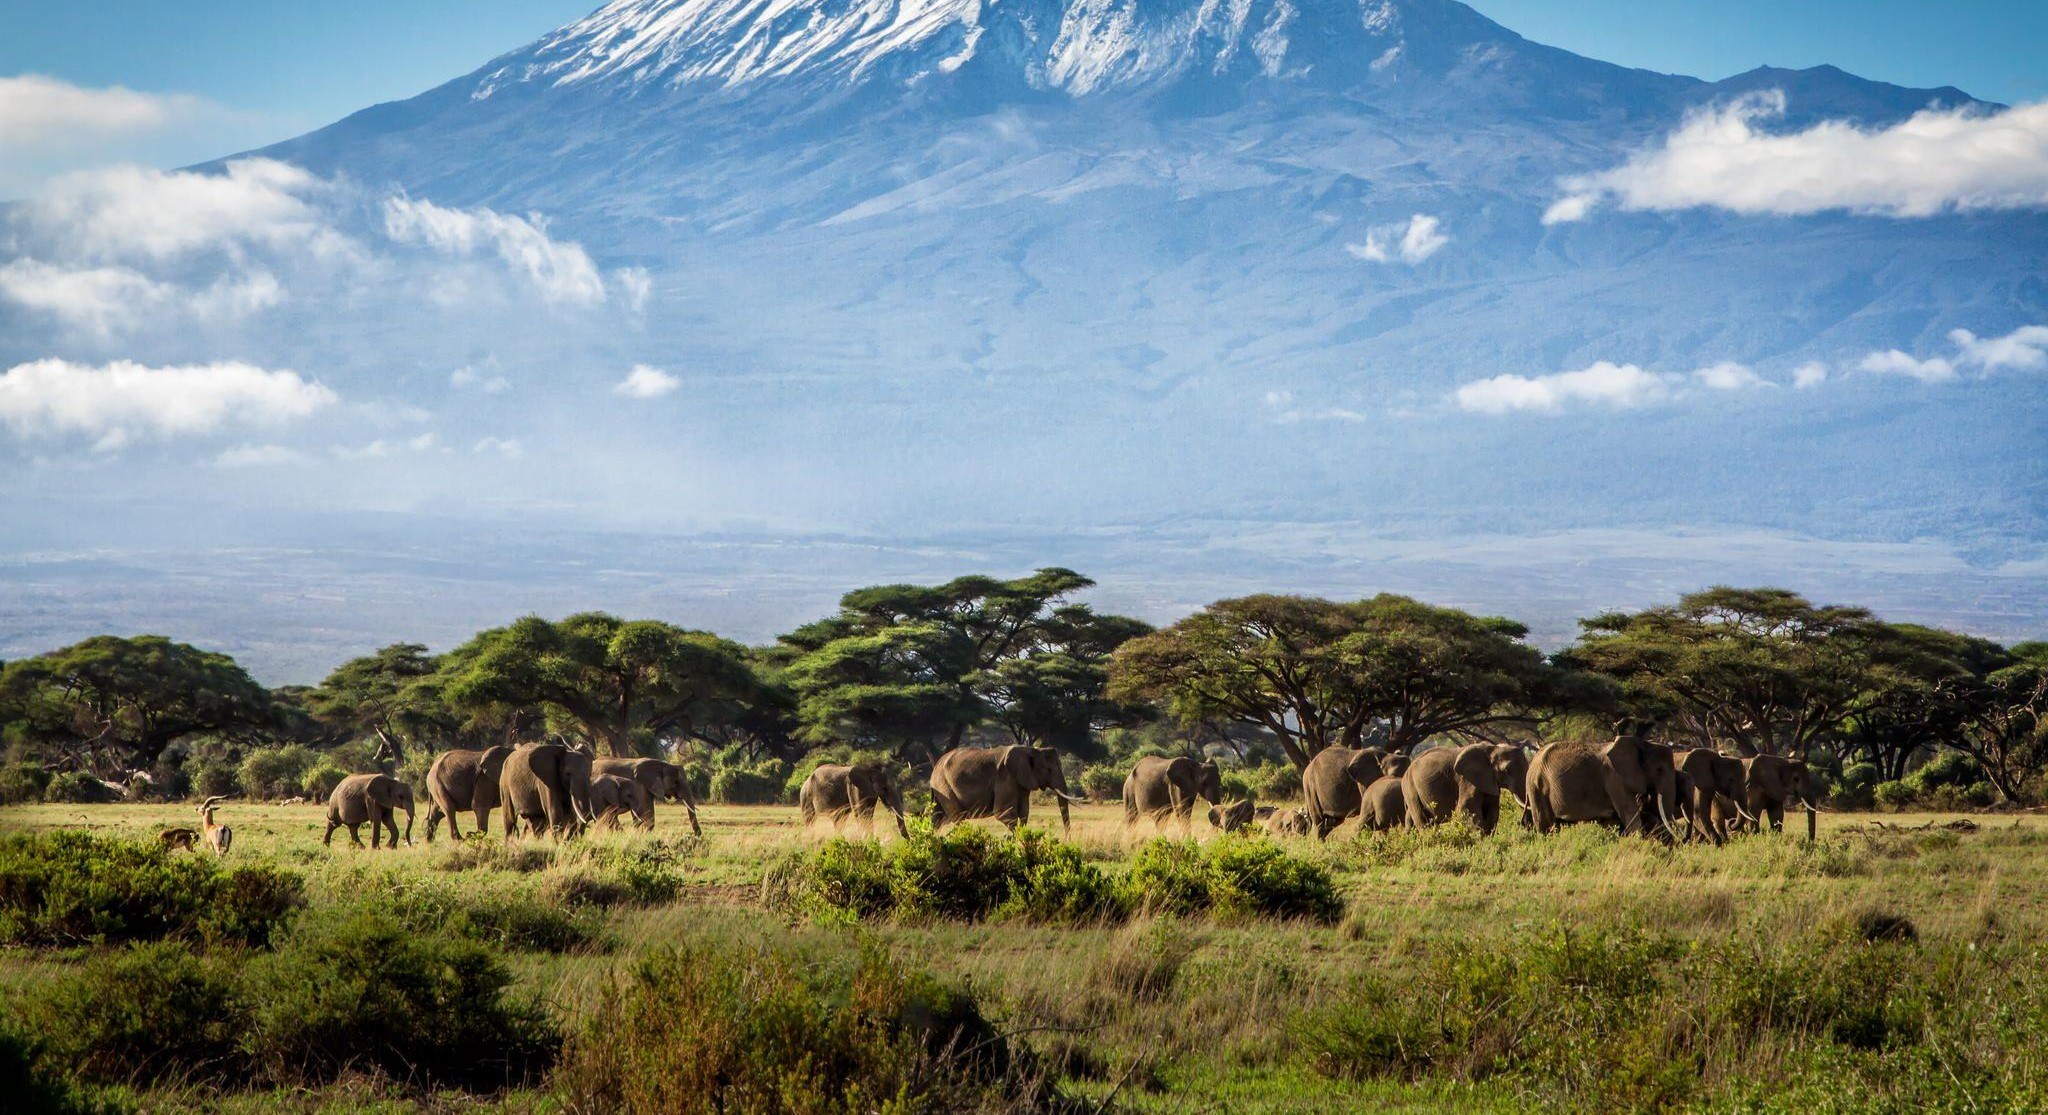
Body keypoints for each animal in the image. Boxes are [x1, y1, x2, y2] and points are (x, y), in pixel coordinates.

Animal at [933, 746, 1089, 832]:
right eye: (1049, 770)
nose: (1067, 841)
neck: (1031, 750)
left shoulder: (1022, 782)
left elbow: (1024, 813)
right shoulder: (1005, 777)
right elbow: (1003, 813)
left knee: (937, 818)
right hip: (944, 786)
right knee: (957, 817)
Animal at [1531, 729, 1671, 836]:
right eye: (1659, 770)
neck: (1642, 743)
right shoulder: (1614, 777)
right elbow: (1629, 814)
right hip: (1536, 786)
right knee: (1545, 825)